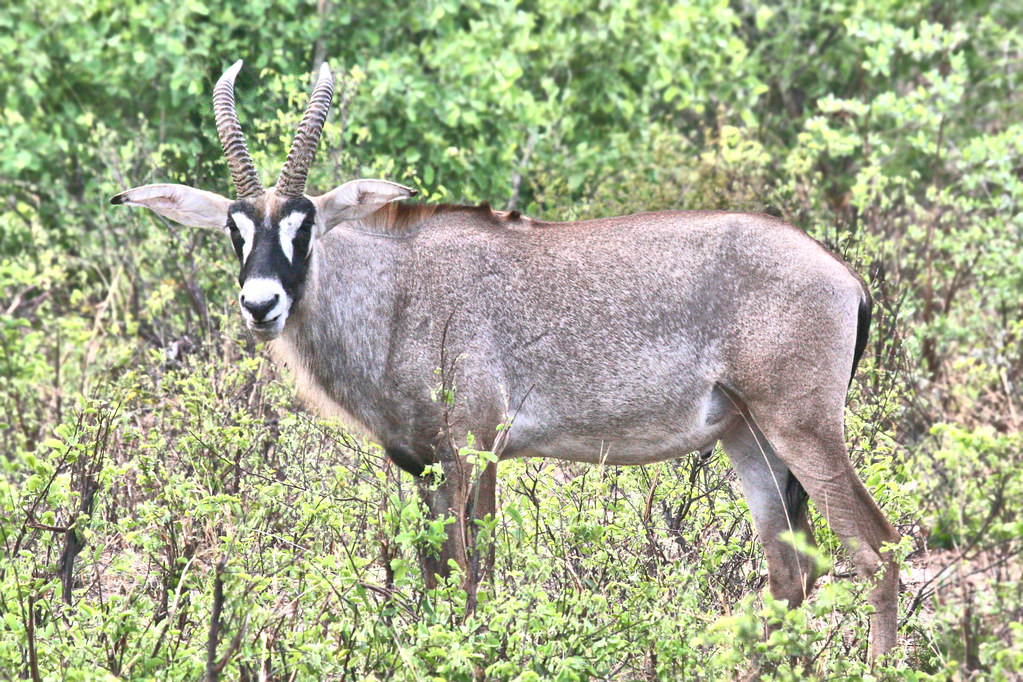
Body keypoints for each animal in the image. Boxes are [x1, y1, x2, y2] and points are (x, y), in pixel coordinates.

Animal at [107, 62, 900, 662]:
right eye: (235, 229)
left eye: (305, 225)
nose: (261, 303)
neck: (400, 292)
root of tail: (845, 277)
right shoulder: (420, 462)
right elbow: (435, 574)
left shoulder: (472, 446)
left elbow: (471, 571)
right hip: (748, 438)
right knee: (788, 570)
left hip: (801, 426)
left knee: (877, 546)